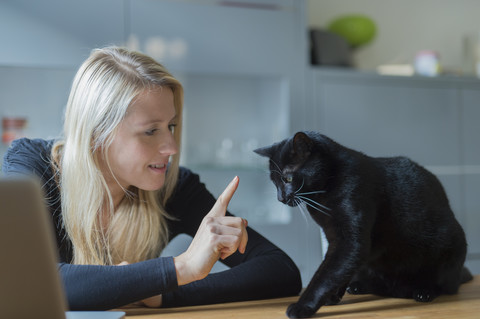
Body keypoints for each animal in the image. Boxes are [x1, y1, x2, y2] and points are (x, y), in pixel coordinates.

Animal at [255, 131, 472, 318]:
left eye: (287, 178)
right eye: (274, 181)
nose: (280, 198)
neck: (324, 192)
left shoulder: (350, 240)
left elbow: (326, 274)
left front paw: (303, 307)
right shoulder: (334, 238)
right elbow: (338, 271)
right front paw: (331, 297)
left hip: (452, 243)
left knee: (446, 285)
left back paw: (424, 291)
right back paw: (359, 286)